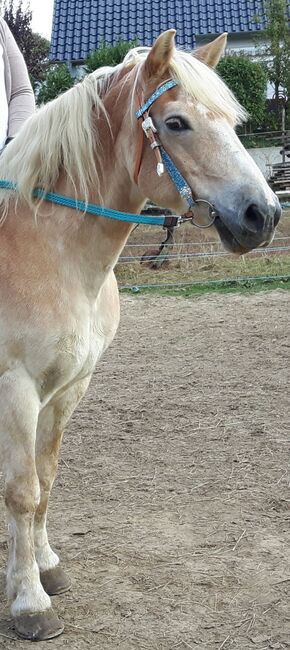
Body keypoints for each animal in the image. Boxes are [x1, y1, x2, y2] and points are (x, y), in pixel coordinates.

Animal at [0, 29, 282, 636]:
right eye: (176, 123)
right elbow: (22, 490)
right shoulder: (16, 388)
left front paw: (44, 567)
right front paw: (31, 603)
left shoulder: (68, 388)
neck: (47, 251)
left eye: (231, 119)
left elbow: (45, 479)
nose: (263, 215)